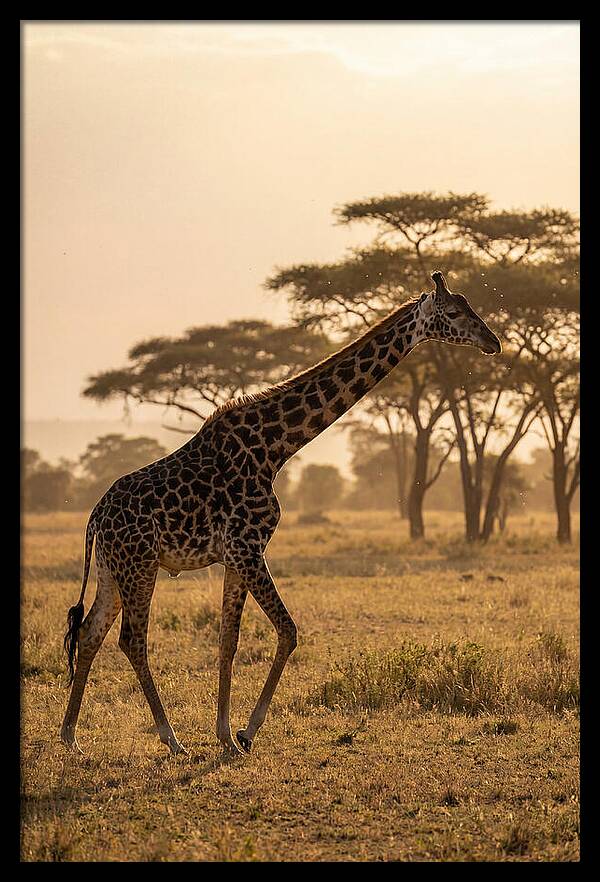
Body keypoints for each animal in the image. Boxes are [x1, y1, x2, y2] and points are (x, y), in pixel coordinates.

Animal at [61, 271, 501, 757]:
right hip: (140, 565)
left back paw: (70, 736)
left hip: (112, 569)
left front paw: (225, 736)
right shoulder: (248, 547)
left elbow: (228, 640)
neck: (275, 448)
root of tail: (95, 518)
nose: (493, 342)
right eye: (455, 312)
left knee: (90, 632)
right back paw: (171, 739)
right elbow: (288, 631)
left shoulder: (236, 556)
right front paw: (246, 731)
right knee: (131, 639)